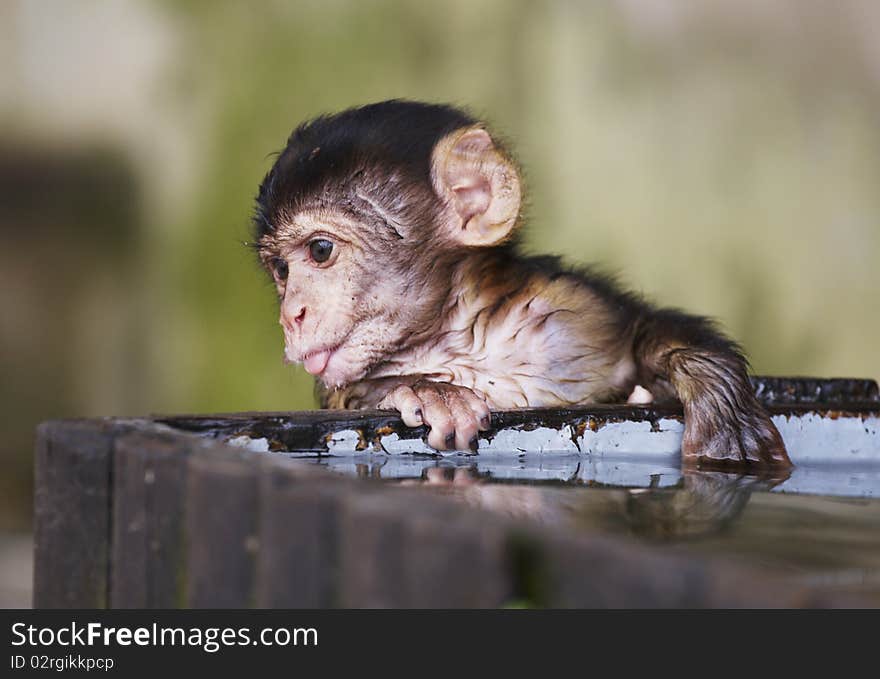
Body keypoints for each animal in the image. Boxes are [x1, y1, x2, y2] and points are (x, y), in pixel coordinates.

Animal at [253, 98, 792, 468]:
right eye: (281, 270)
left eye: (320, 251)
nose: (290, 314)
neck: (460, 337)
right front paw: (428, 392)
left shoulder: (571, 310)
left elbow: (641, 330)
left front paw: (716, 394)